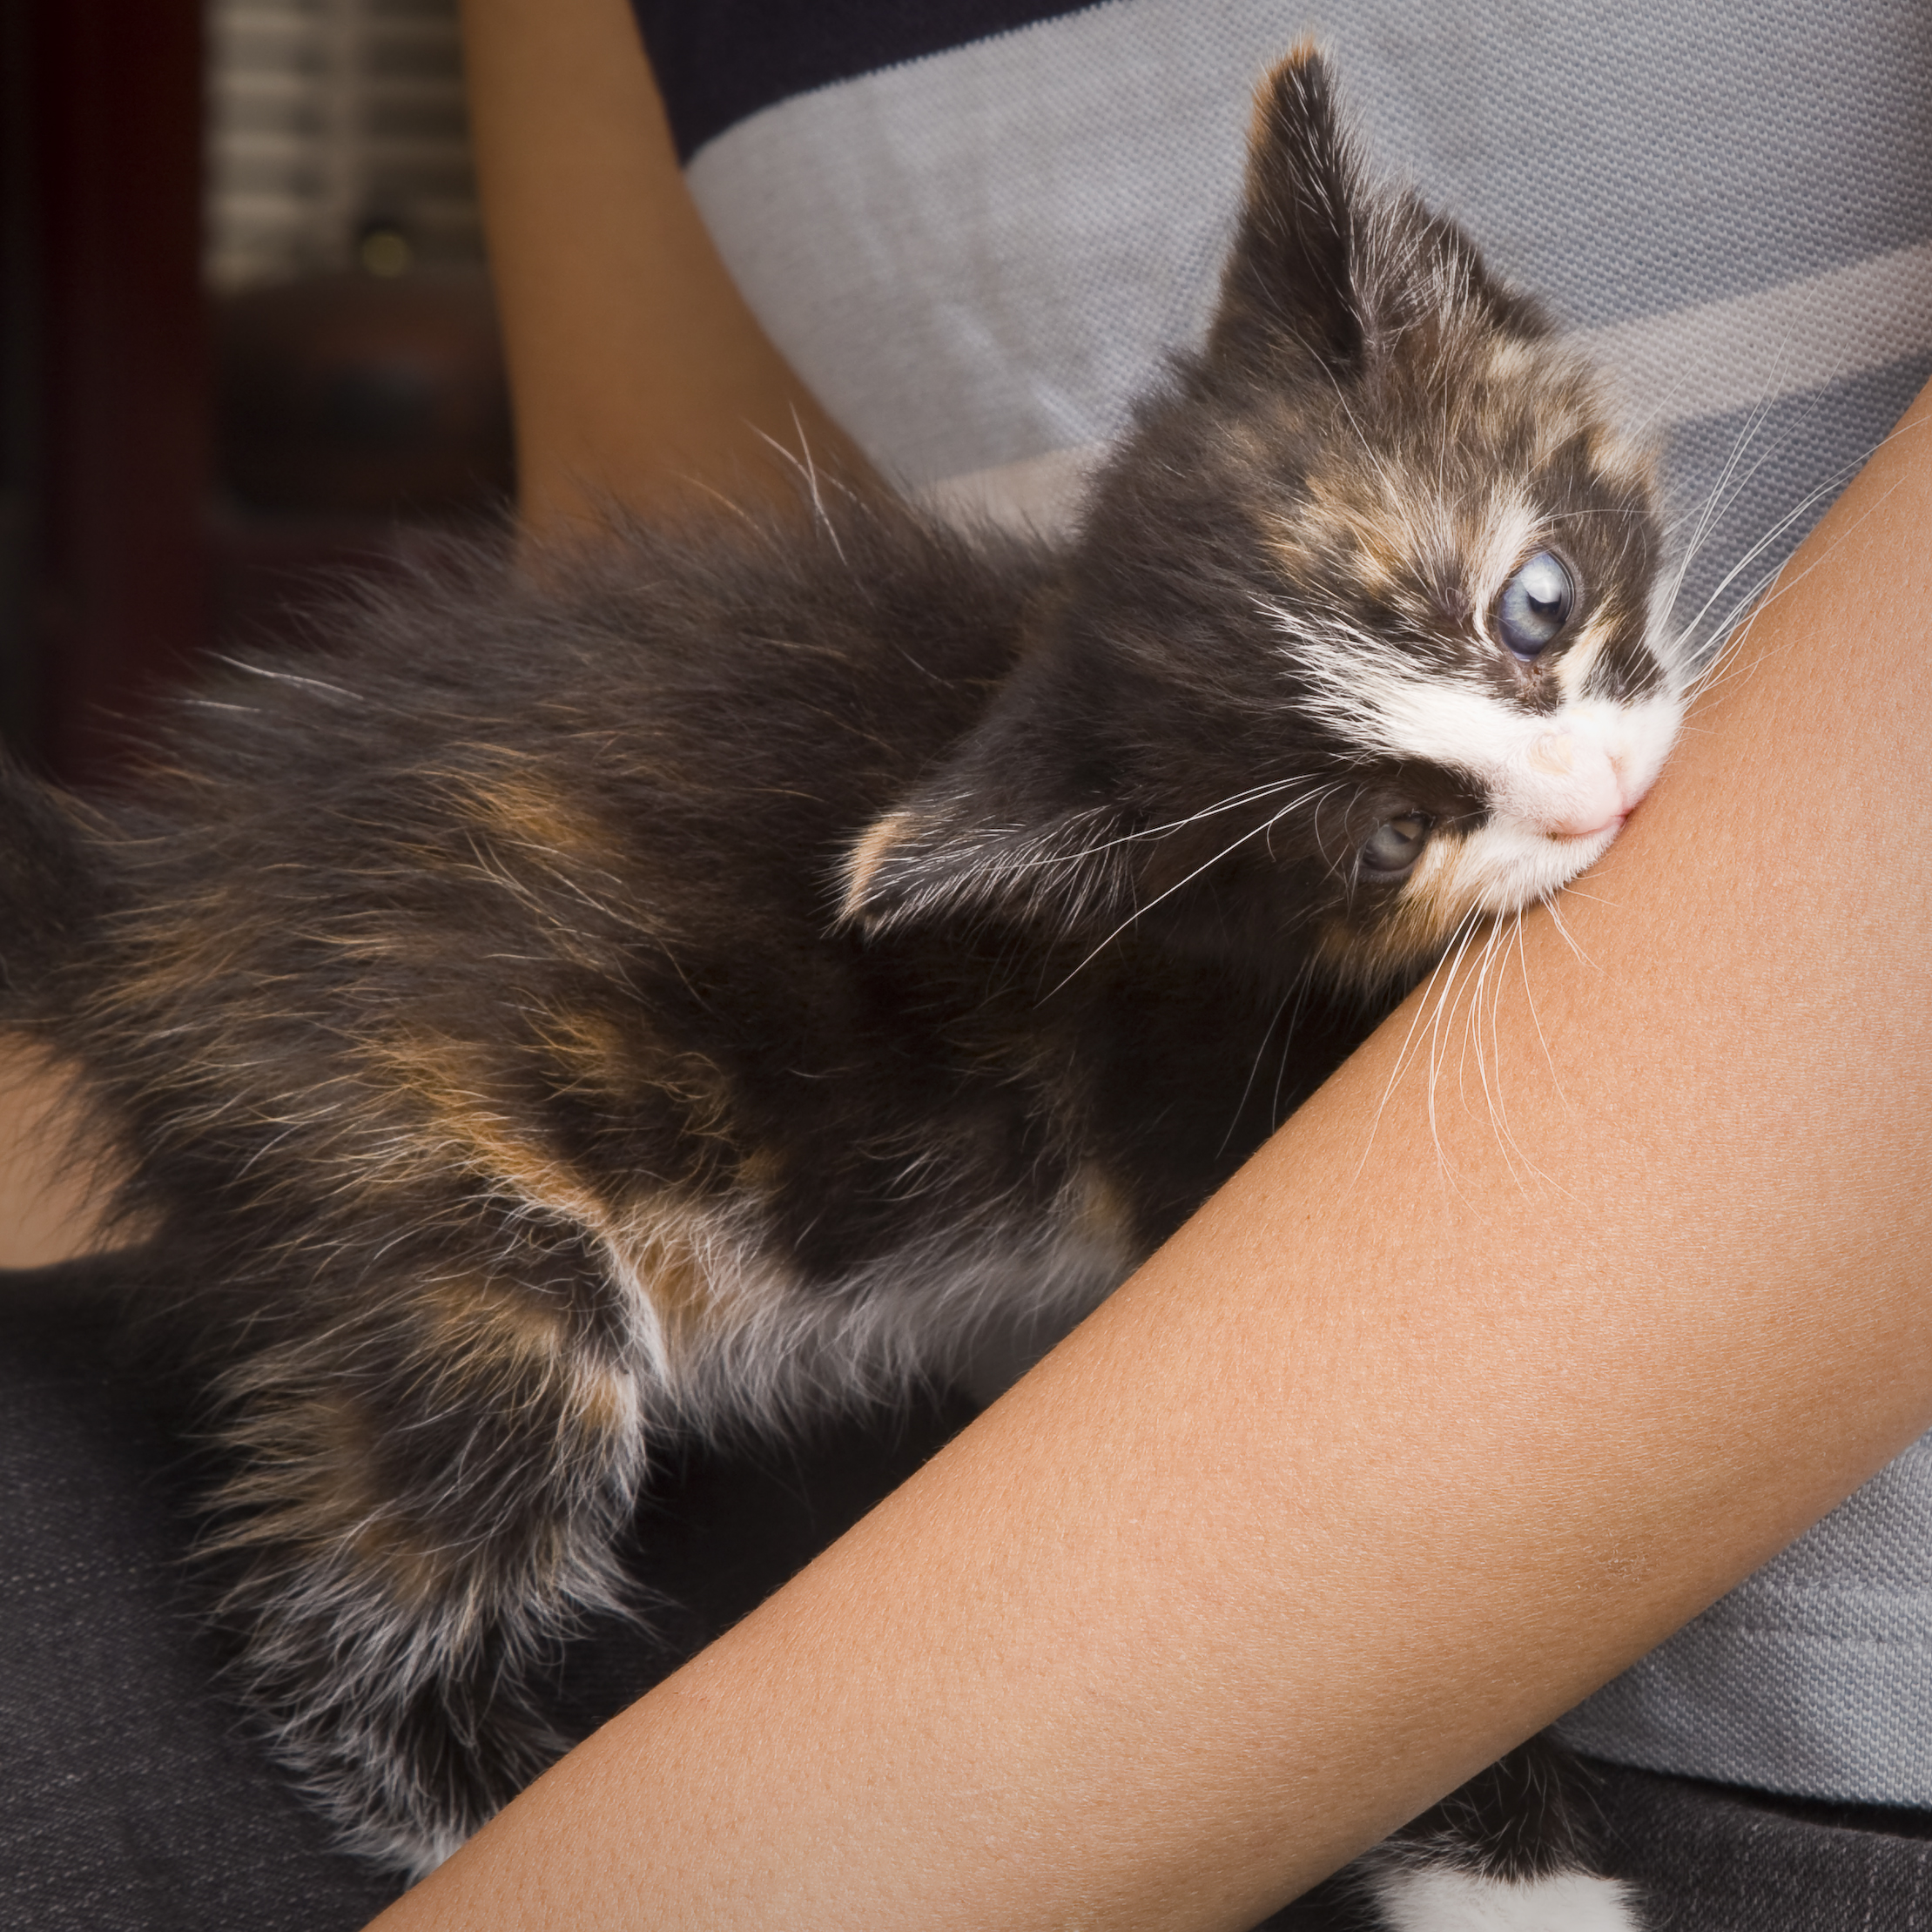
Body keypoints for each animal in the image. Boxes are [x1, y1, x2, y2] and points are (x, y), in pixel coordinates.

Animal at [0, 52, 1684, 1924]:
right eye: (1385, 839)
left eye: (1535, 599)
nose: (1595, 798)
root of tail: (147, 904)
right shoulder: (1196, 1121)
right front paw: (1524, 1882)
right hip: (438, 1213)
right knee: (372, 1590)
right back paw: (488, 1798)